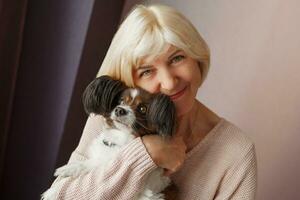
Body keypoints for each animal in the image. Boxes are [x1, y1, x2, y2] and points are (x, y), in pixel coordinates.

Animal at [42, 76, 178, 199]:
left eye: (142, 108)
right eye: (121, 101)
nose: (119, 110)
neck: (118, 139)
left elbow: (96, 165)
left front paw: (53, 191)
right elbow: (90, 162)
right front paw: (68, 168)